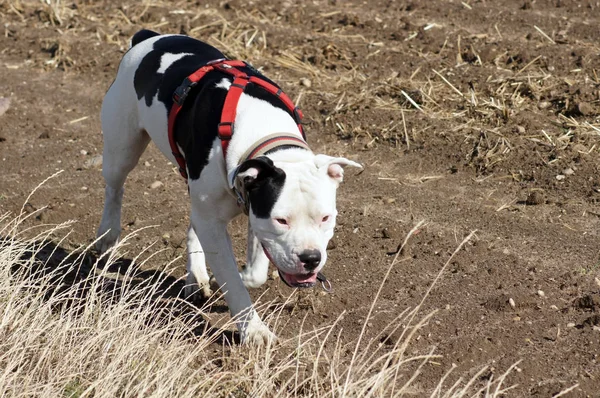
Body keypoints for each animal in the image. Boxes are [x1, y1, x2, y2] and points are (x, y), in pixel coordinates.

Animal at [96, 29, 360, 344]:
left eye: (326, 218)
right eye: (281, 220)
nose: (310, 258)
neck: (265, 134)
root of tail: (148, 36)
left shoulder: (251, 206)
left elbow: (255, 271)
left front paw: (235, 276)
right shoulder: (230, 216)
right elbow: (232, 282)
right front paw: (254, 331)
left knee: (193, 222)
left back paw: (196, 277)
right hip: (122, 148)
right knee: (114, 189)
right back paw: (107, 235)